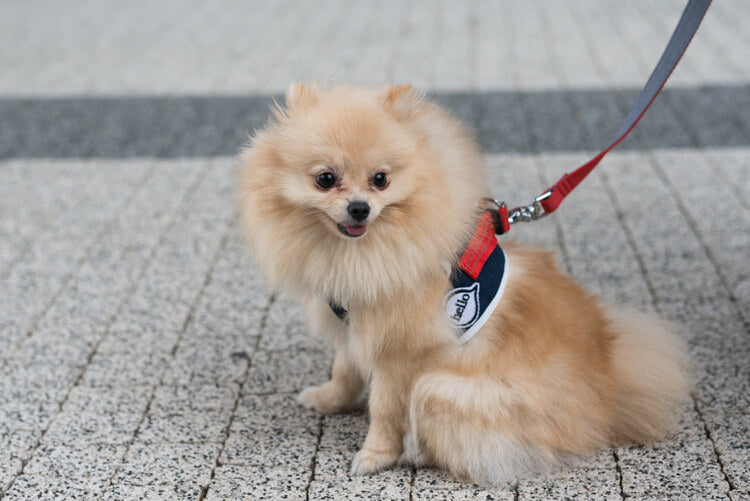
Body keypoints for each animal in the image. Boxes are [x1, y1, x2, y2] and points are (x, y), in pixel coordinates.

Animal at [241, 84, 692, 482]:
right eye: (326, 179)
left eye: (381, 179)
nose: (359, 207)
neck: (362, 253)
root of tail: (608, 387)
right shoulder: (355, 326)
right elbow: (344, 369)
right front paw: (328, 399)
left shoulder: (399, 354)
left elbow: (384, 409)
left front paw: (374, 456)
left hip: (442, 389)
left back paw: (416, 453)